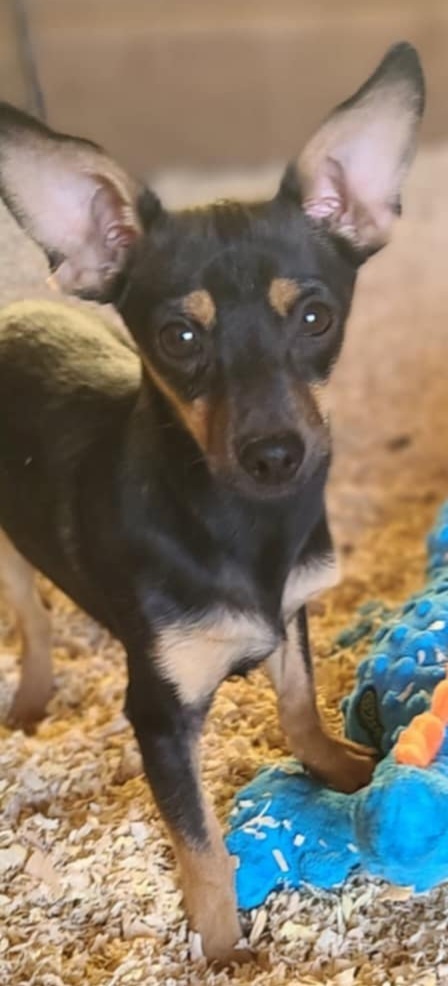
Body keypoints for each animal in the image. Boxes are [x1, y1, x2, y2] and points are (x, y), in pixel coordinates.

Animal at [0, 46, 424, 960]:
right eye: (180, 337)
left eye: (316, 317)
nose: (276, 454)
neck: (246, 525)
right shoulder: (158, 717)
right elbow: (201, 847)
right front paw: (226, 952)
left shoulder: (291, 617)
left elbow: (298, 709)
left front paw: (343, 769)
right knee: (33, 617)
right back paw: (33, 697)